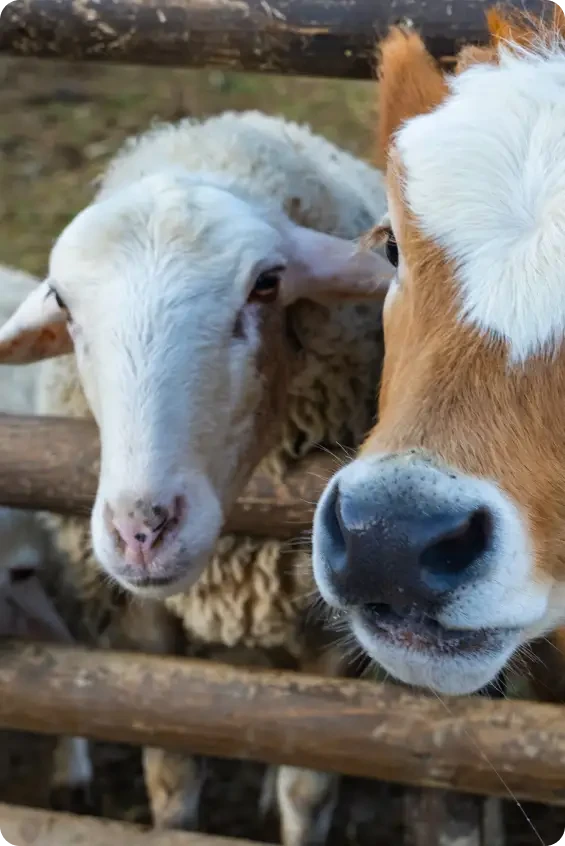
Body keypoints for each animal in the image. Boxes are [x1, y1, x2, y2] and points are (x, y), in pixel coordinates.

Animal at [0, 111, 392, 844]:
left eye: (266, 284)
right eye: (63, 302)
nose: (142, 531)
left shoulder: (329, 620)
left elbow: (310, 781)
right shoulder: (145, 626)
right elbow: (174, 767)